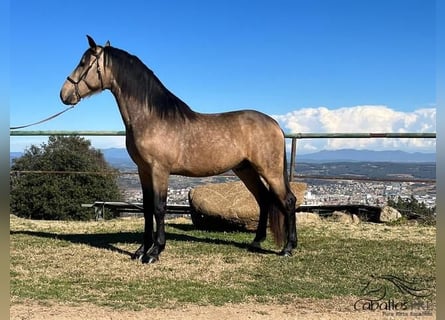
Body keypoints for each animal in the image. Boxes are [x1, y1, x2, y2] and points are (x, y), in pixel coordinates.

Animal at [58, 36, 294, 264]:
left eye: (83, 63)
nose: (64, 94)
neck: (151, 118)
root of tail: (274, 124)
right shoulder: (143, 170)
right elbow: (146, 209)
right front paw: (141, 250)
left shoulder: (159, 170)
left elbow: (159, 208)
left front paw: (155, 252)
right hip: (245, 169)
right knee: (263, 200)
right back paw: (256, 242)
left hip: (269, 170)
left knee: (288, 201)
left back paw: (288, 248)